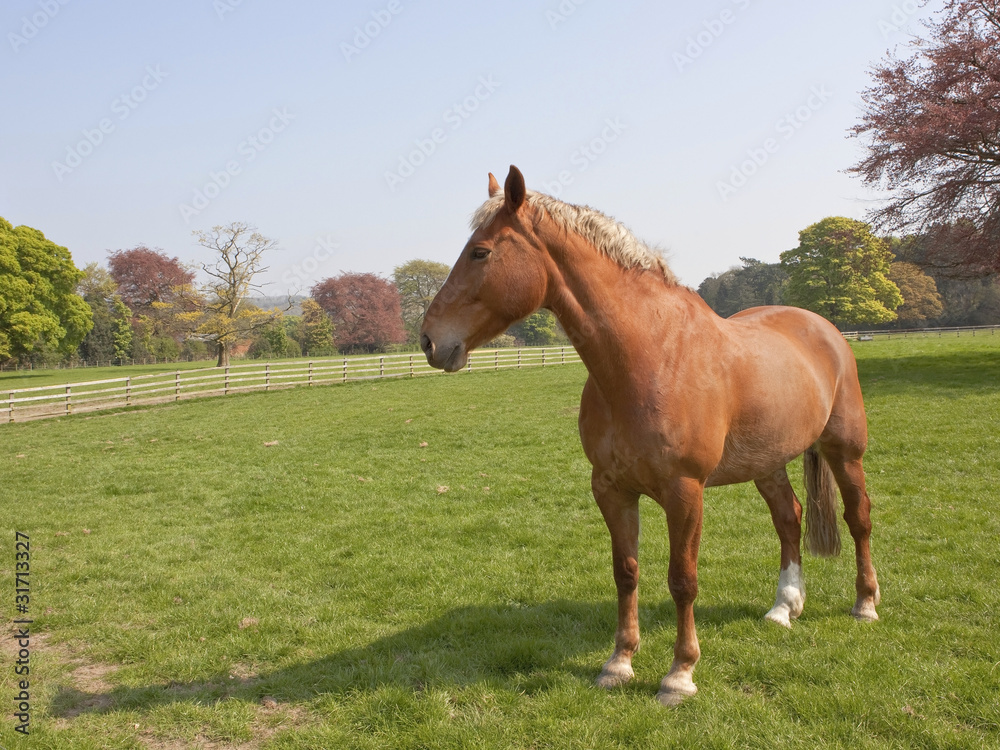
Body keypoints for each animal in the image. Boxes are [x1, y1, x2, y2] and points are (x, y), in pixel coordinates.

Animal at [420, 166, 880, 706]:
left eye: (481, 252)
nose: (429, 340)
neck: (649, 357)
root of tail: (823, 327)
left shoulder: (685, 492)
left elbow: (682, 580)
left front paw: (680, 673)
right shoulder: (612, 489)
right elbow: (626, 572)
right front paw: (619, 663)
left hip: (844, 452)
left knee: (858, 518)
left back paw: (865, 604)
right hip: (767, 462)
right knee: (789, 519)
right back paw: (784, 607)